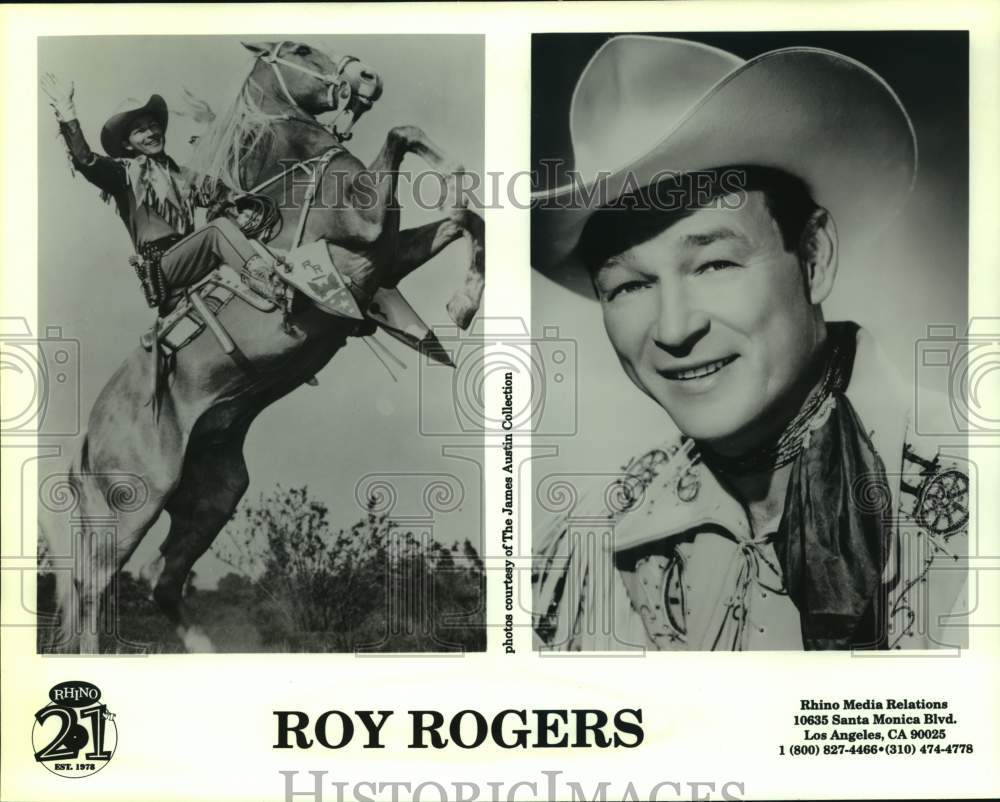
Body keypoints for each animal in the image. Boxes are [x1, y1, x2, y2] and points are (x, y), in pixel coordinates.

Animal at [41, 39, 486, 648]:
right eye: (299, 49)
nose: (368, 77)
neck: (292, 180)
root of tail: (89, 438)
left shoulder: (390, 255)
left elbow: (465, 217)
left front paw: (463, 301)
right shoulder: (369, 226)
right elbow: (402, 136)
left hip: (211, 495)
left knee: (162, 579)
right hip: (130, 505)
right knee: (92, 588)